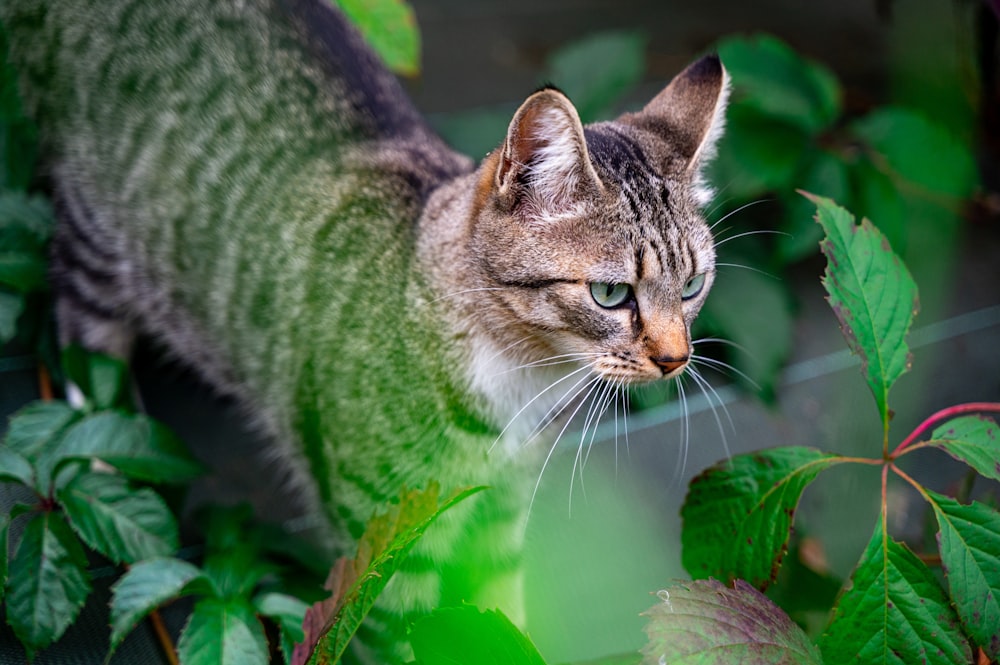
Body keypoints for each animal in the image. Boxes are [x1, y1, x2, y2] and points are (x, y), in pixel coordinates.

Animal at [0, 0, 728, 660]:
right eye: (611, 294)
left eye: (692, 285)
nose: (675, 358)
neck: (518, 380)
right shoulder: (382, 540)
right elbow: (402, 634)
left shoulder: (499, 514)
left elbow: (495, 614)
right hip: (102, 225)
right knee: (78, 311)